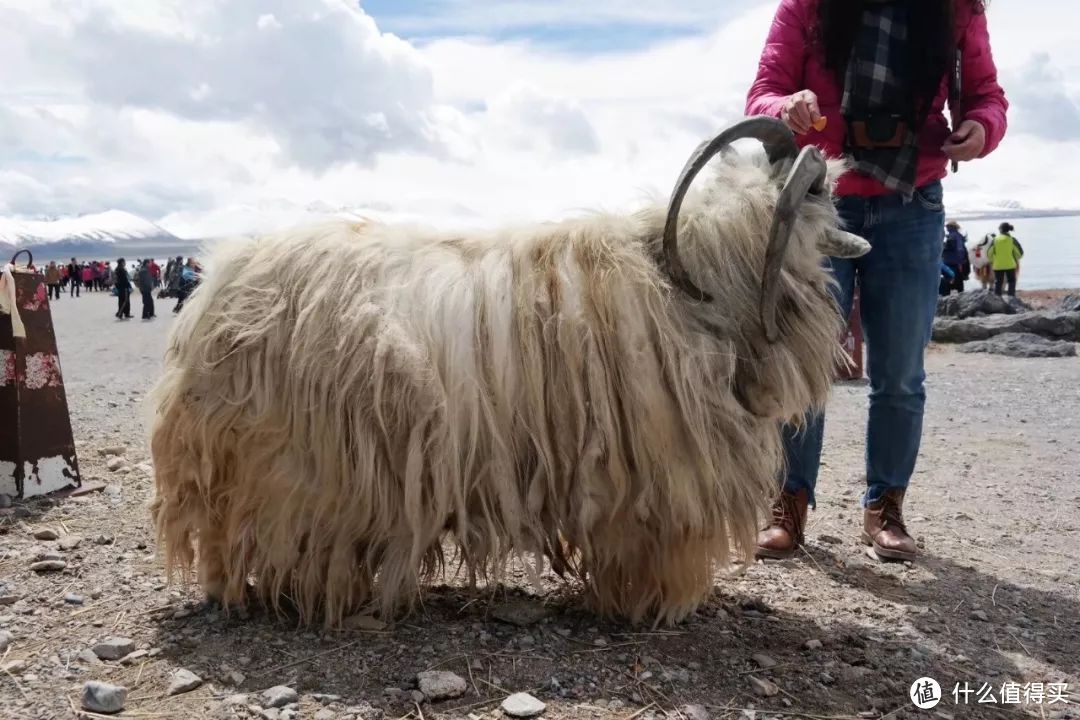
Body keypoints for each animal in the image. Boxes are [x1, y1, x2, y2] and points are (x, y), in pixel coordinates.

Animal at [147, 117, 868, 626]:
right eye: (820, 190)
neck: (697, 280)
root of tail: (212, 289)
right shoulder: (655, 487)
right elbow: (649, 559)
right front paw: (652, 611)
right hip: (280, 468)